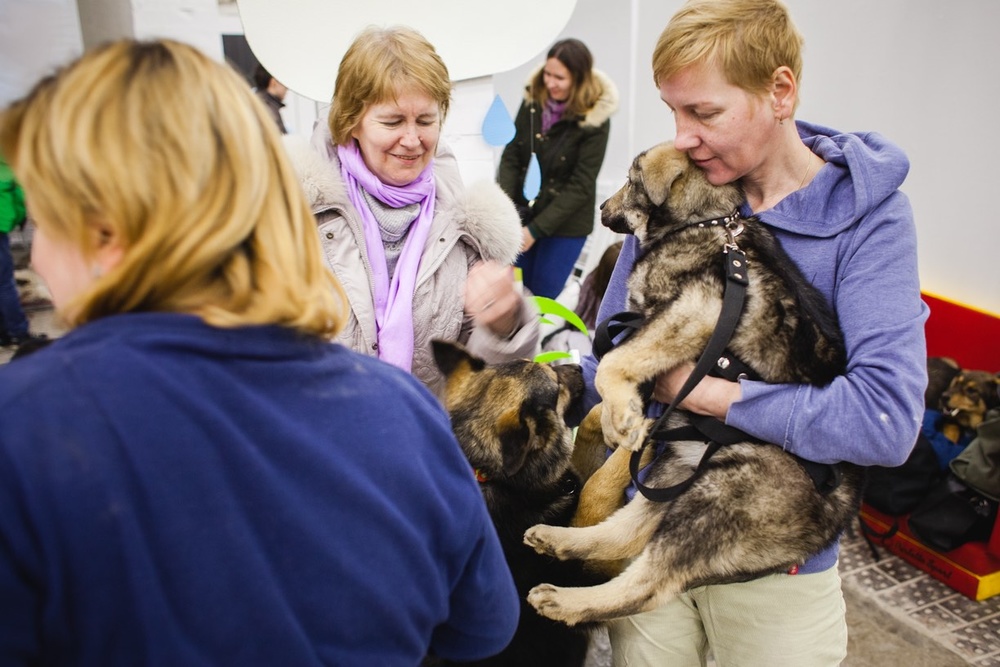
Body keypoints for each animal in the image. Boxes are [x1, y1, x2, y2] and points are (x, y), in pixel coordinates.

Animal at [524, 141, 868, 628]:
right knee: (626, 533)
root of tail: (838, 514)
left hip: (720, 501)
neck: (704, 222)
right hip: (677, 472)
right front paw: (622, 418)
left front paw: (622, 417)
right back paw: (560, 541)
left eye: (630, 182)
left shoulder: (698, 308)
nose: (602, 208)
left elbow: (613, 361)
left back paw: (565, 602)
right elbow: (614, 370)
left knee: (649, 585)